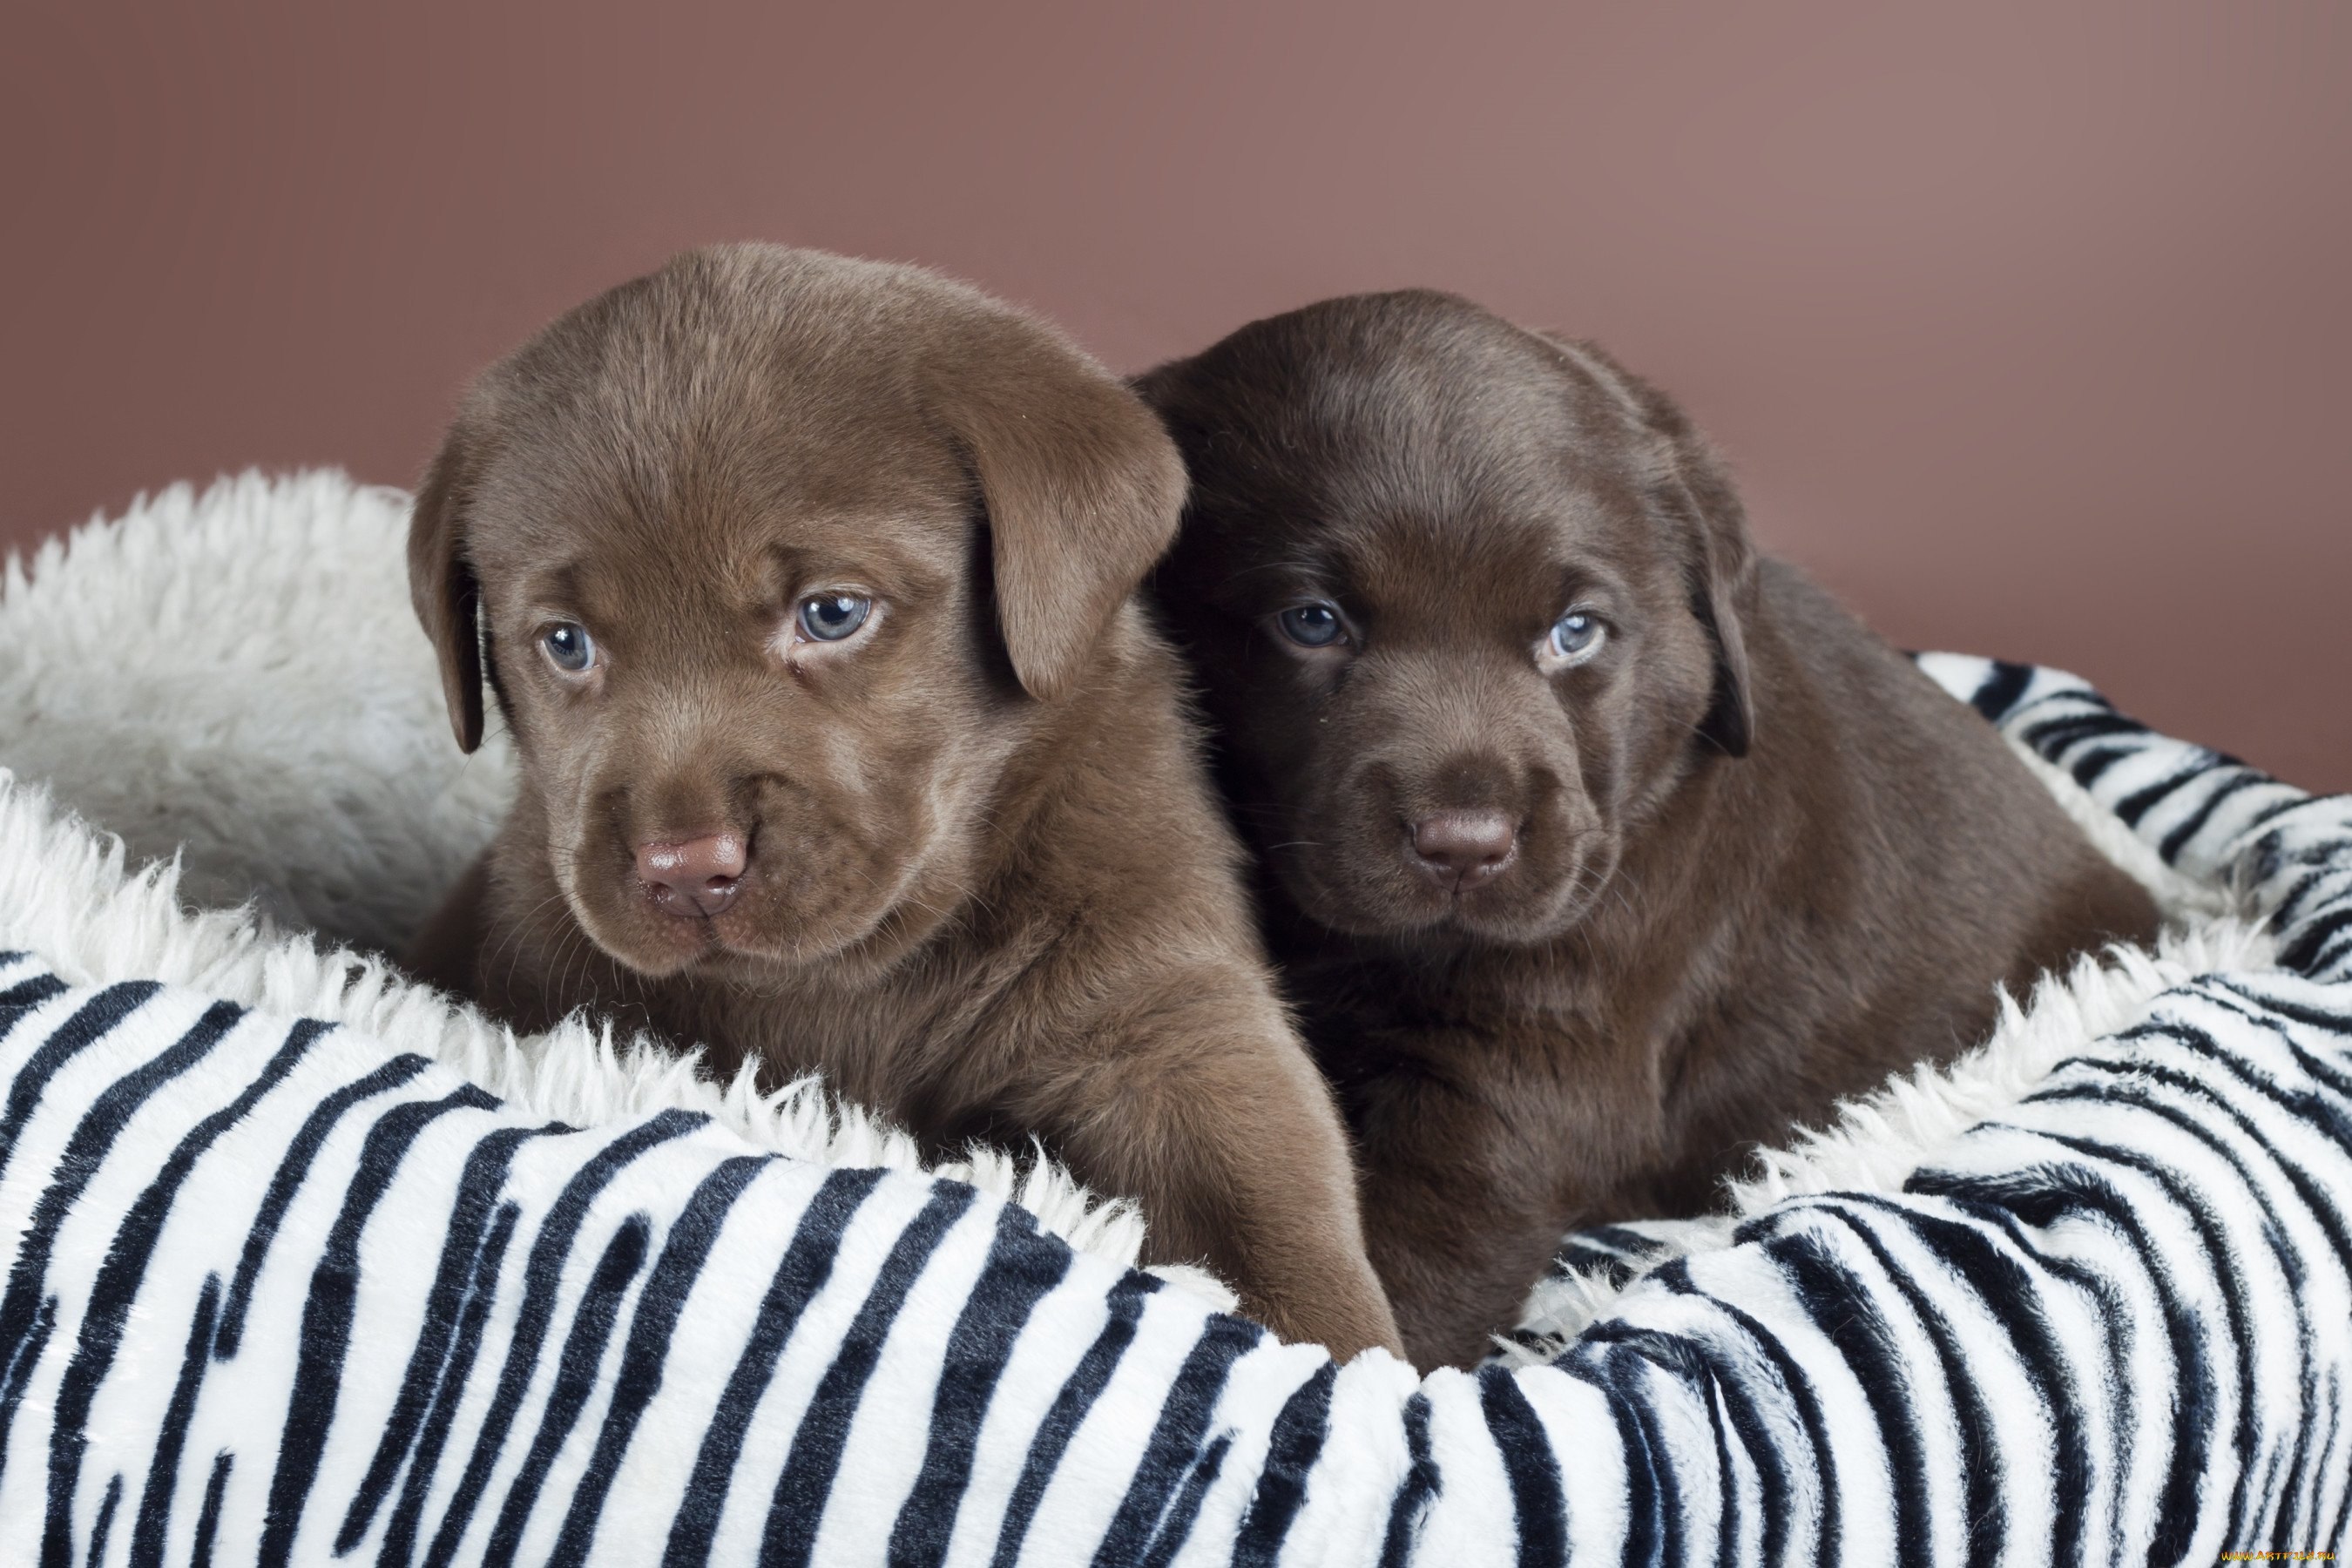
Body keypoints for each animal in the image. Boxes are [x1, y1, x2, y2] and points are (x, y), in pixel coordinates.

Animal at [407, 246, 1402, 1363]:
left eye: (833, 613)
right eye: (566, 644)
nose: (685, 867)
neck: (858, 975)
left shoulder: (1169, 1016)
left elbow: (1268, 1206)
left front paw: (1347, 1375)